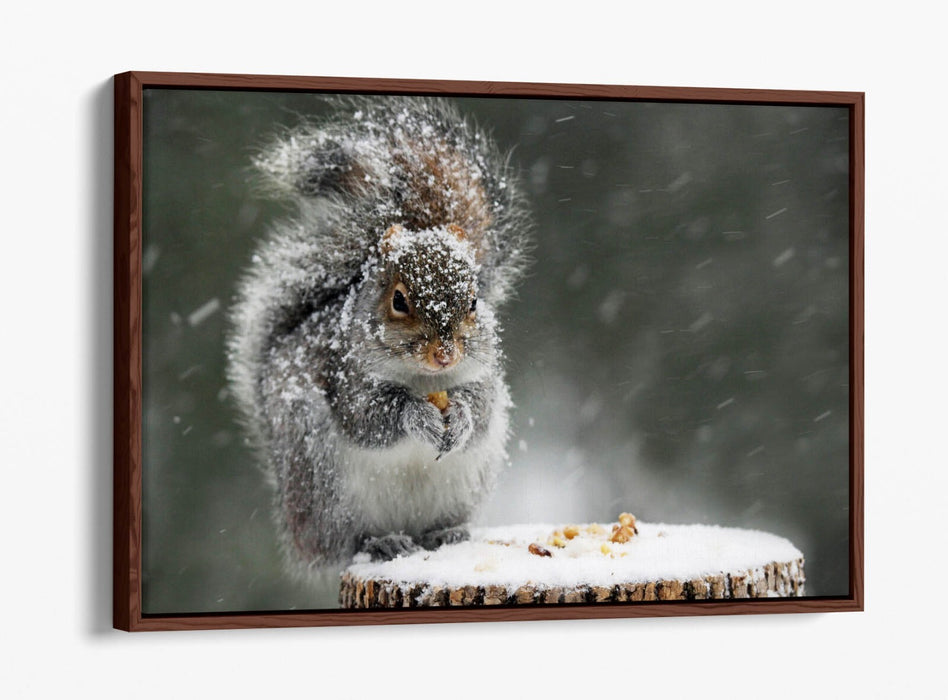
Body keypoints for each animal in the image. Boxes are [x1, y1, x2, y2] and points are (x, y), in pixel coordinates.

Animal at [227, 97, 531, 574]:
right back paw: (380, 542)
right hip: (322, 486)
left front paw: (461, 417)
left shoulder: (482, 377)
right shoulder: (344, 376)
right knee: (342, 544)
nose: (444, 354)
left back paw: (447, 533)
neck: (425, 380)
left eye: (474, 301)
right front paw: (417, 416)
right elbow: (370, 416)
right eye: (399, 300)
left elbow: (480, 410)